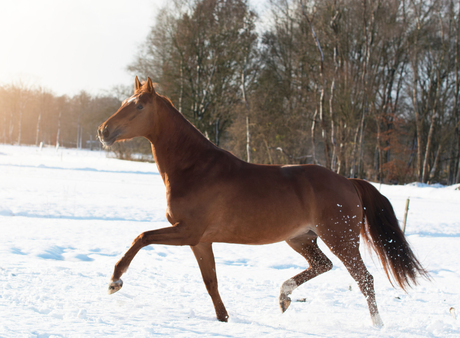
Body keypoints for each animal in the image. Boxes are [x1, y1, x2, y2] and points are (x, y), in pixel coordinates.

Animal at [97, 76, 428, 324]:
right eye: (124, 103)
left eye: (138, 106)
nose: (103, 131)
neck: (194, 168)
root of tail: (348, 181)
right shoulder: (200, 241)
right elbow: (211, 282)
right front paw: (224, 319)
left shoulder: (187, 232)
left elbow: (141, 237)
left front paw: (114, 281)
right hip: (301, 238)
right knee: (324, 265)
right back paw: (284, 296)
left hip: (340, 238)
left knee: (364, 279)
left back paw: (376, 324)